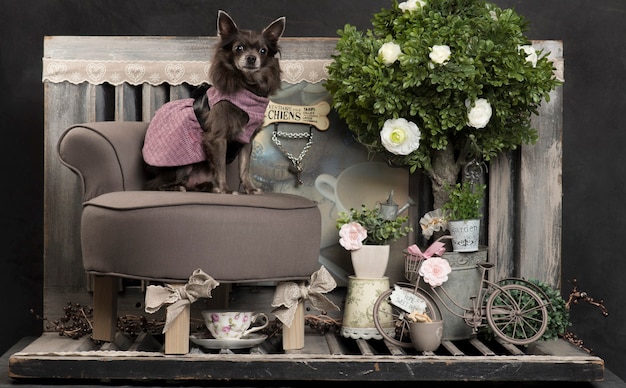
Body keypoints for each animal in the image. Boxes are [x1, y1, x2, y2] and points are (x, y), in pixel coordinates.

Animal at [141, 11, 282, 193]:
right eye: (239, 48)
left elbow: (244, 168)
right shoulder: (217, 137)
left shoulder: (246, 140)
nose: (251, 58)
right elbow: (220, 166)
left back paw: (205, 186)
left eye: (263, 50)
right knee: (154, 185)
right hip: (181, 167)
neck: (247, 87)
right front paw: (225, 190)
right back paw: (177, 188)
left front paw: (250, 189)